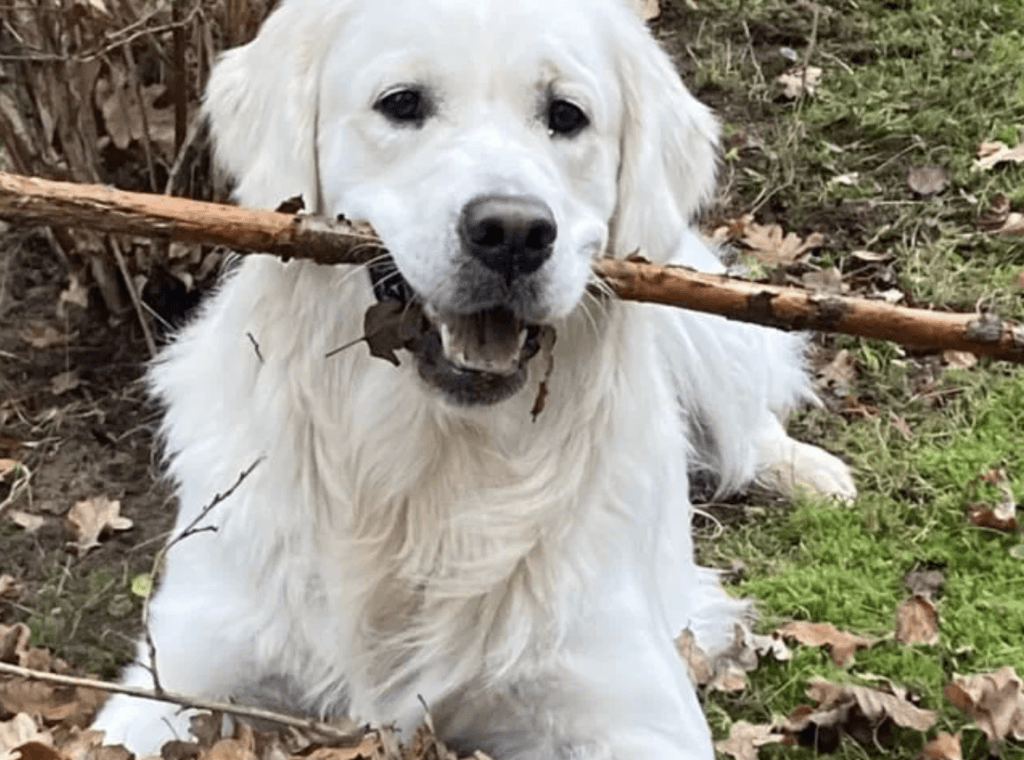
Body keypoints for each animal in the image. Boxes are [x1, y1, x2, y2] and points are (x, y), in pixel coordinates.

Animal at [92, 0, 851, 757]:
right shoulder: (186, 665)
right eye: (401, 103)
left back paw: (813, 474)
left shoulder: (629, 703)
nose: (513, 232)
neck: (429, 463)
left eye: (566, 115)